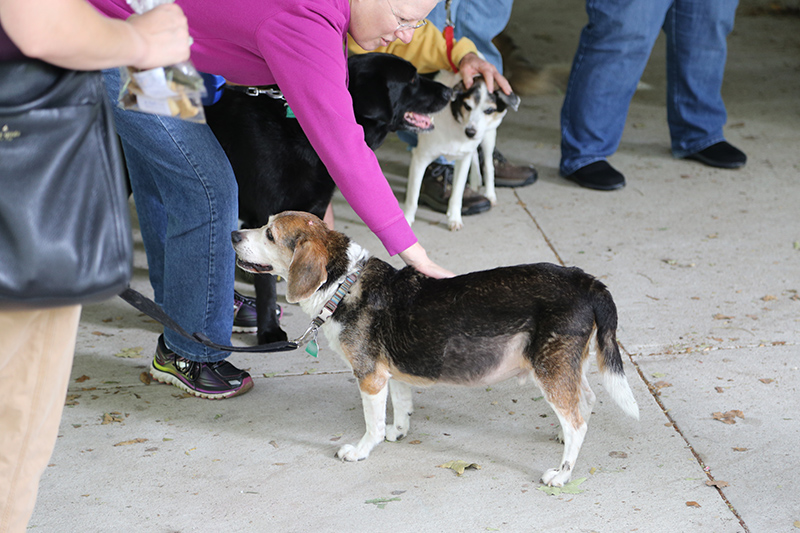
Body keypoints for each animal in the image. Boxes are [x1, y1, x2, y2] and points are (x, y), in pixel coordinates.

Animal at [203, 54, 454, 342]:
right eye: (412, 79)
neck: (304, 137)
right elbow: (266, 287)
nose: (451, 92)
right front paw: (270, 331)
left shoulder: (314, 209)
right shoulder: (264, 216)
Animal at [230, 210, 636, 484]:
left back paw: (563, 473)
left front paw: (362, 450)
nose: (234, 233)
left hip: (549, 367)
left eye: (269, 234)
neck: (343, 282)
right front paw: (398, 432)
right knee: (585, 401)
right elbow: (401, 406)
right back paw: (561, 434)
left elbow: (372, 424)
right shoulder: (391, 373)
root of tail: (586, 281)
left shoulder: (370, 377)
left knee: (578, 423)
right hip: (566, 365)